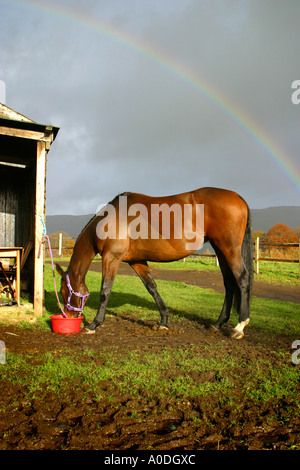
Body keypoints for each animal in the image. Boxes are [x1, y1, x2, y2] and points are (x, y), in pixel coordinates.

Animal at [56, 189, 253, 340]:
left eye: (64, 292)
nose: (69, 316)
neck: (111, 219)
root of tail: (237, 196)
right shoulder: (136, 261)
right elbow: (152, 287)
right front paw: (164, 321)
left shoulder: (111, 257)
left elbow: (105, 291)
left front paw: (94, 324)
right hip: (220, 248)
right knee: (229, 282)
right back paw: (218, 323)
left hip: (229, 248)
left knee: (242, 279)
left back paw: (239, 327)